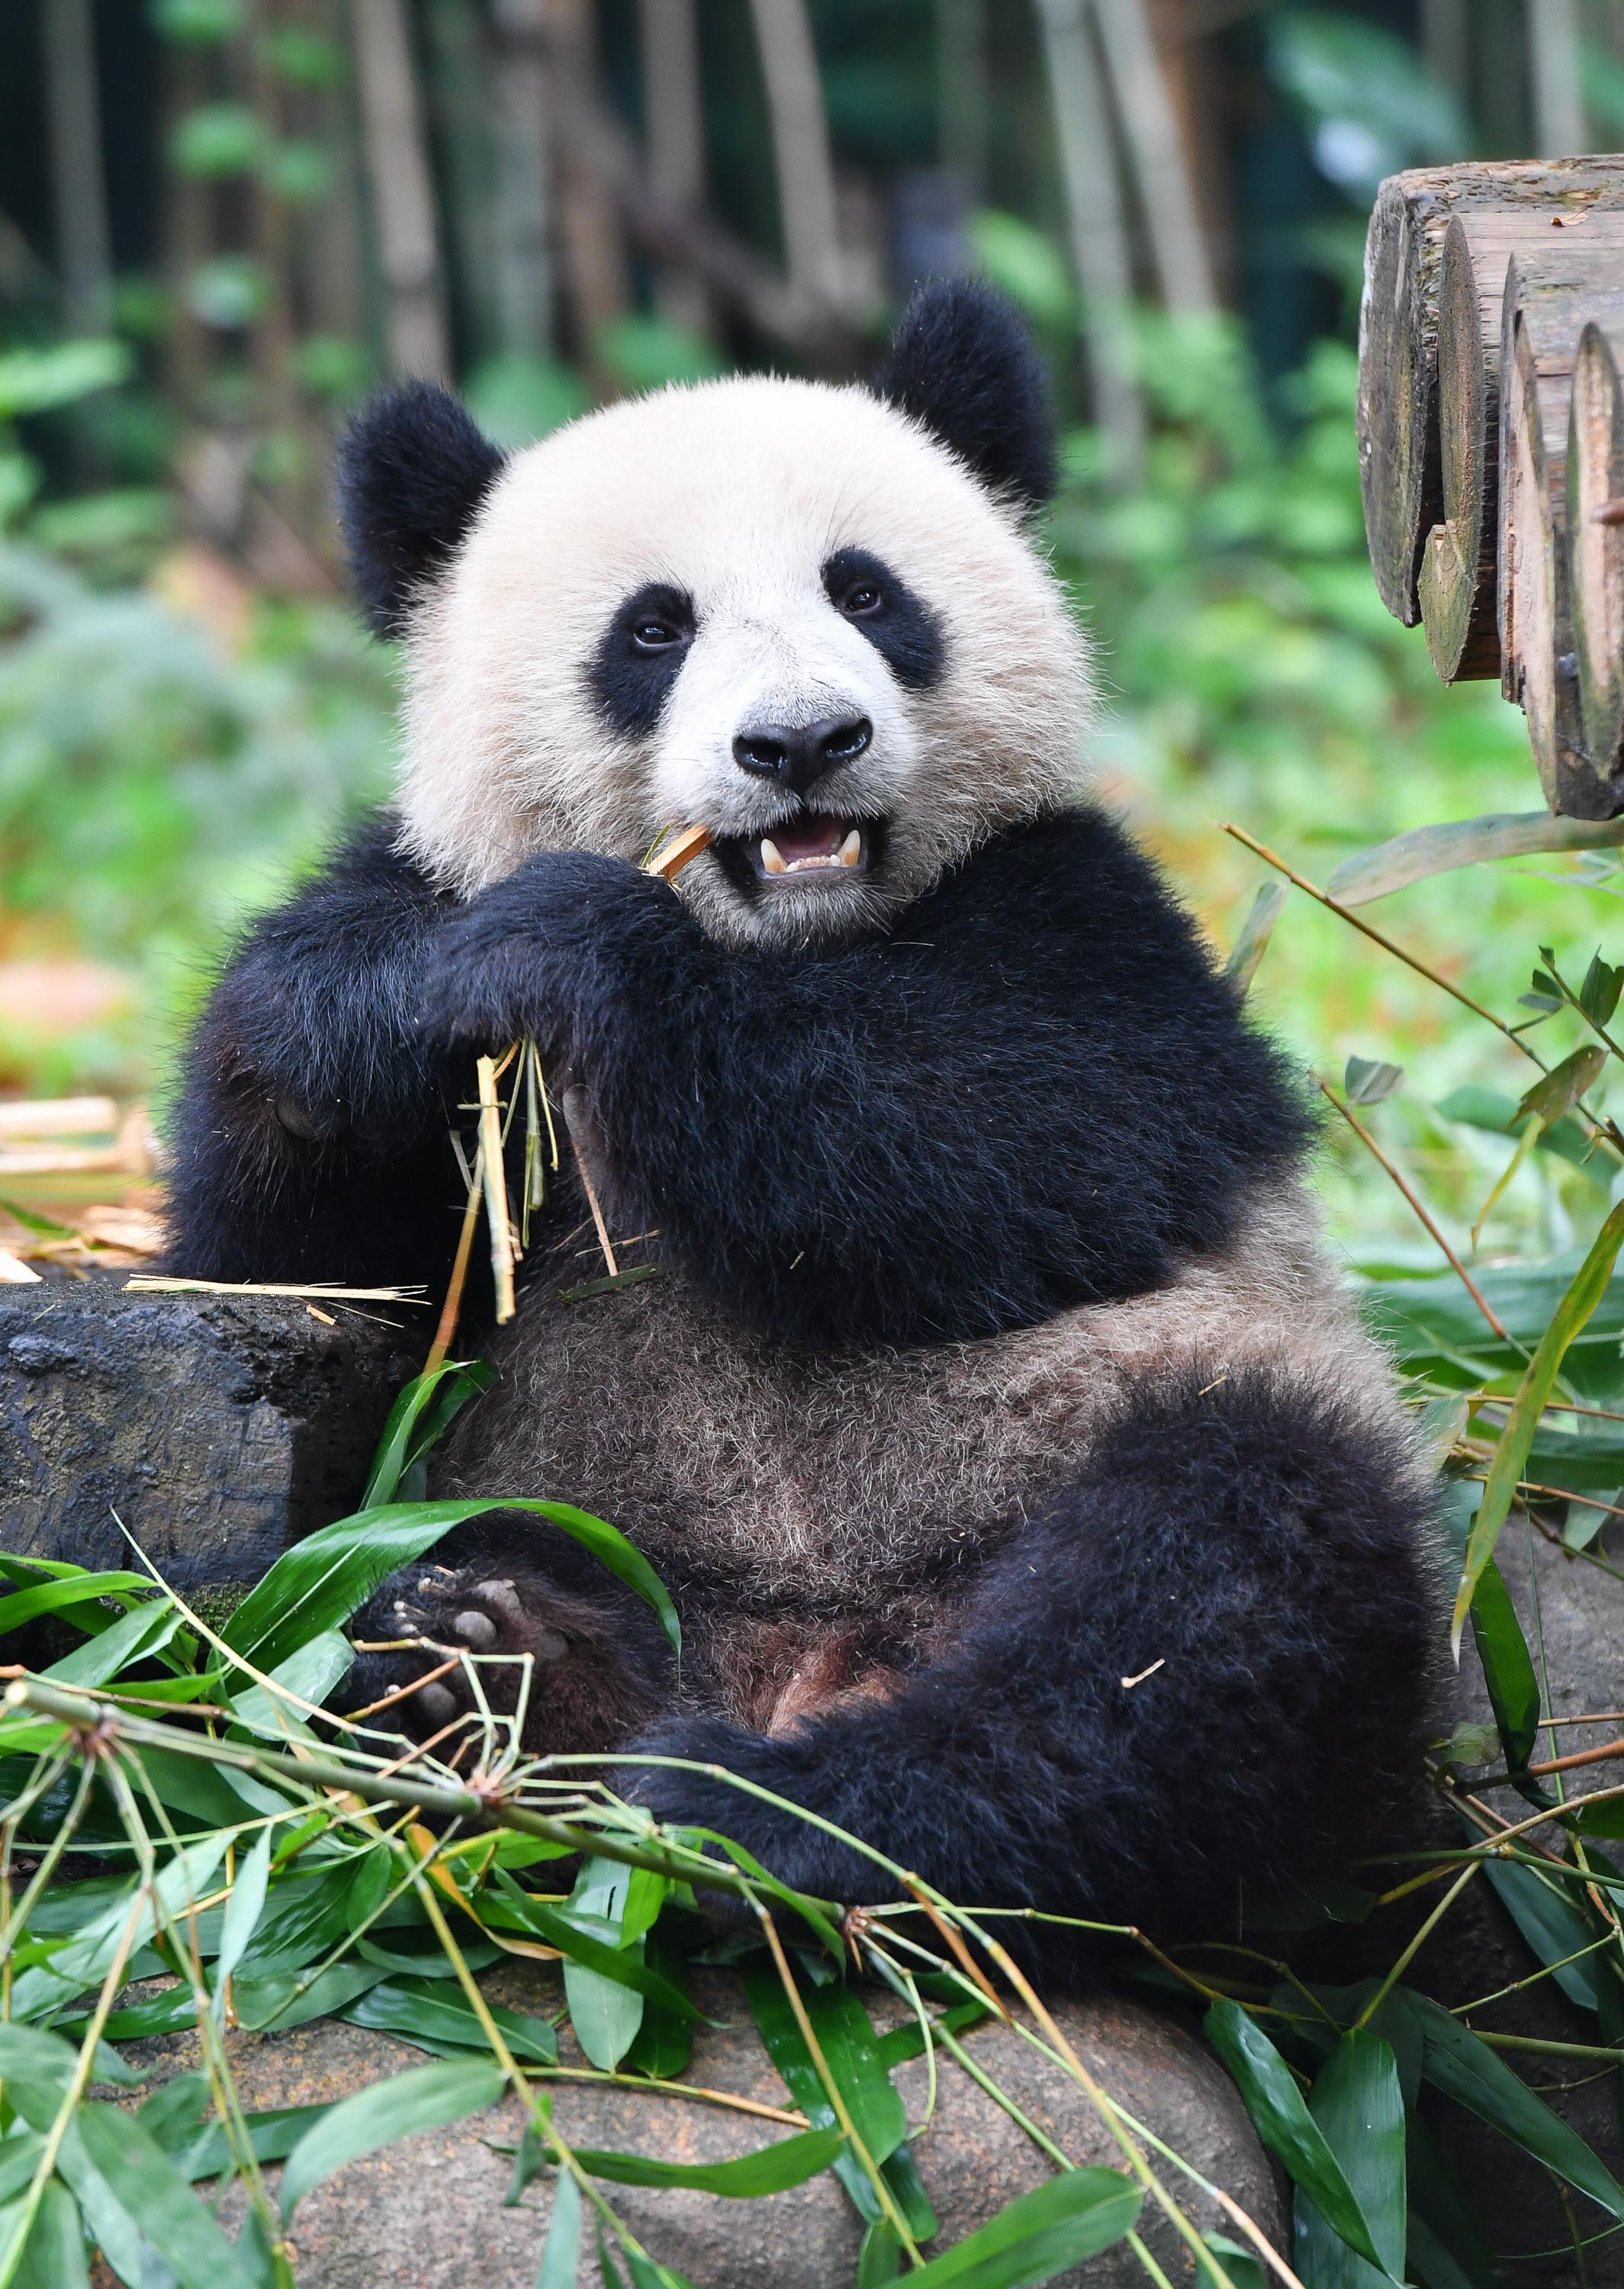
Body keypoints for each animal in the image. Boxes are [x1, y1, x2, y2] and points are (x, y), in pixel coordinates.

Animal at [168, 280, 1441, 1975]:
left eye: (867, 592)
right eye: (652, 630)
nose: (800, 746)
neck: (785, 945)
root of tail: (794, 1658)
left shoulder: (1091, 927)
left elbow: (986, 1144)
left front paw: (580, 954)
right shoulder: (422, 909)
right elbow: (291, 1263)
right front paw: (366, 1008)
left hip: (1148, 1428)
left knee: (1205, 1599)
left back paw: (784, 1816)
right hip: (560, 1495)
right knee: (349, 1587)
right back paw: (486, 1662)